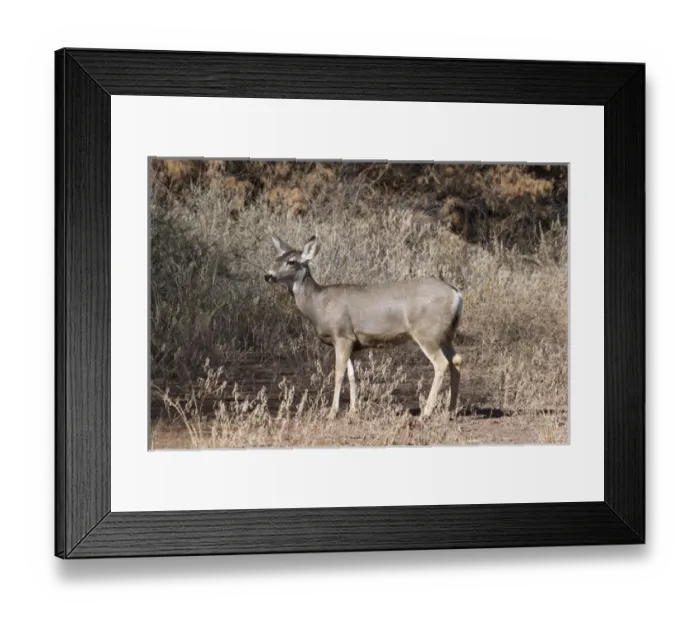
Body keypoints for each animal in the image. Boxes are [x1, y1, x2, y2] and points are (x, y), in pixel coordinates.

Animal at [264, 233, 464, 419]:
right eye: (276, 258)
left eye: (291, 261)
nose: (268, 276)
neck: (319, 305)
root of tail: (456, 294)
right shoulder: (352, 341)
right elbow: (353, 375)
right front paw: (353, 410)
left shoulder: (342, 335)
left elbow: (338, 374)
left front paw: (332, 412)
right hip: (445, 334)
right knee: (457, 360)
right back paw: (451, 411)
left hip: (425, 332)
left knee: (441, 363)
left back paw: (426, 412)